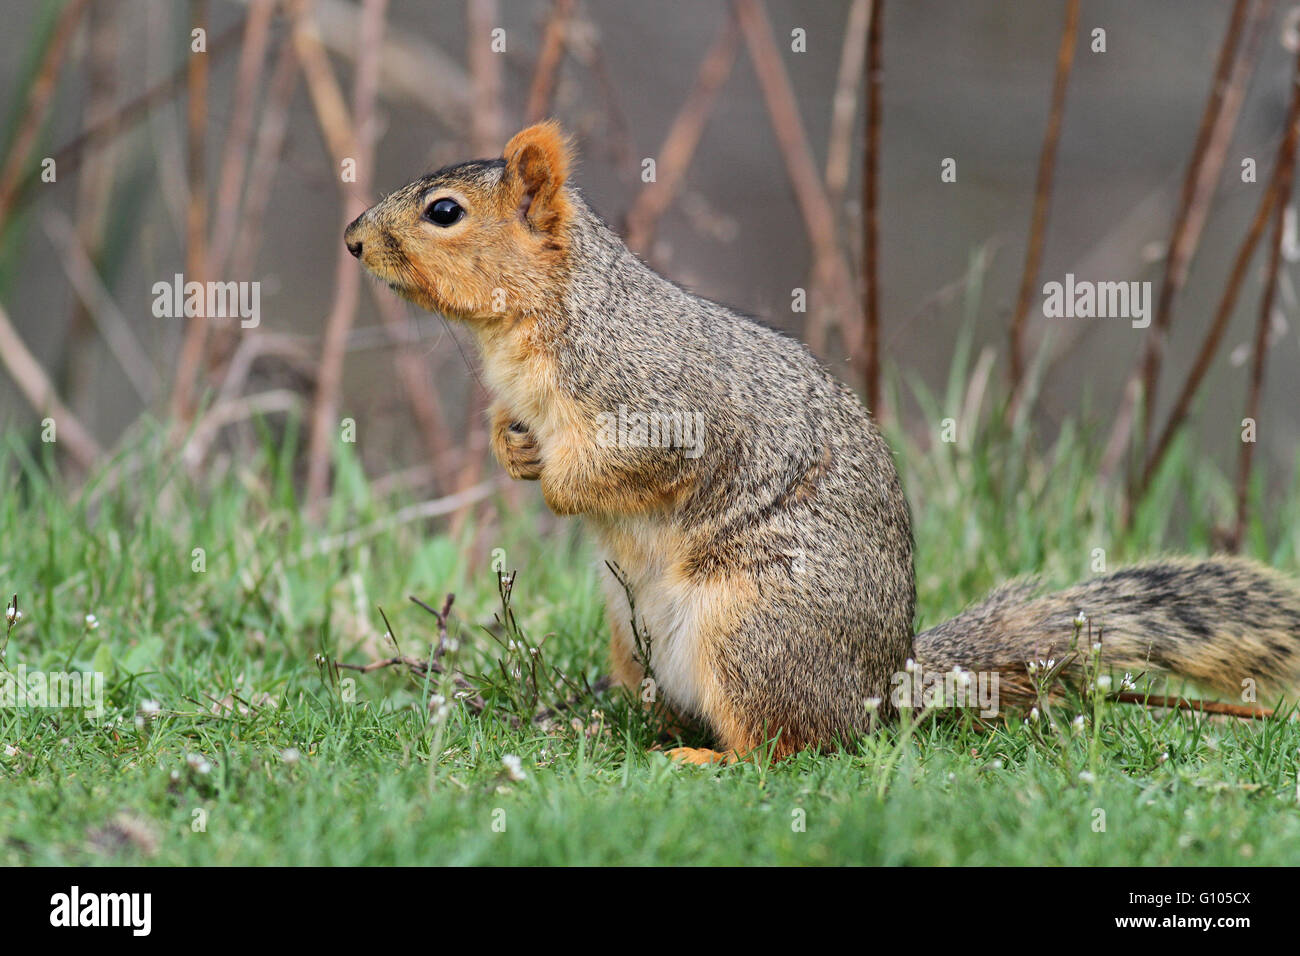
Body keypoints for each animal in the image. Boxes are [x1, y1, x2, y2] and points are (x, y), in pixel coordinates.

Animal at [343, 121, 1300, 764]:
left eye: (444, 211)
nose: (352, 240)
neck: (541, 319)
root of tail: (879, 689)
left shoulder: (658, 401)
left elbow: (640, 462)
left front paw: (555, 484)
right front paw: (513, 450)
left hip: (756, 631)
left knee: (790, 745)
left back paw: (707, 758)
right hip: (634, 635)